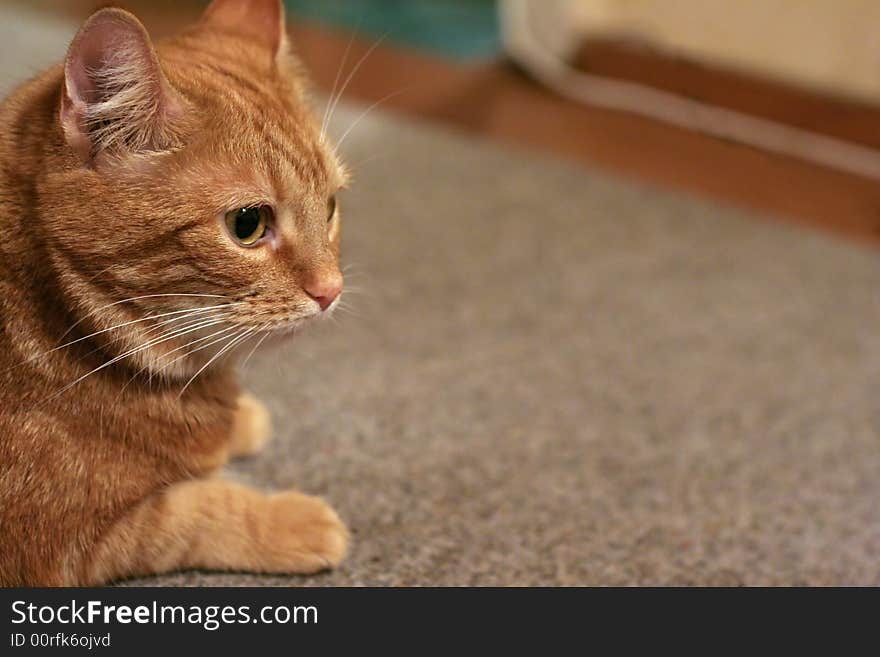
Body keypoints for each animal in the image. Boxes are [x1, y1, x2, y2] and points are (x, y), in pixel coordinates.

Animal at [0, 0, 350, 584]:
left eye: (329, 207)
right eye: (248, 224)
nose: (331, 290)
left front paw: (242, 420)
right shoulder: (63, 550)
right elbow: (193, 512)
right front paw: (290, 522)